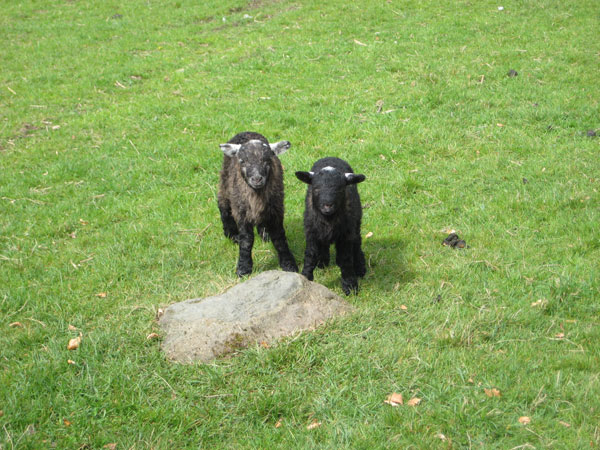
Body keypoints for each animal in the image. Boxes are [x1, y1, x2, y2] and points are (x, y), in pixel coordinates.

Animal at [218, 132, 298, 276]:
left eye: (266, 160)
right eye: (242, 161)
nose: (257, 179)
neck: (256, 196)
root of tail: (246, 132)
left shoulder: (276, 210)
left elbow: (279, 238)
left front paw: (289, 264)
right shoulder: (241, 212)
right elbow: (246, 240)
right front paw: (243, 268)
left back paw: (264, 234)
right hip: (225, 183)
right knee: (223, 205)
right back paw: (232, 235)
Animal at [296, 158, 366, 296]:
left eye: (340, 189)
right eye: (316, 188)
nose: (327, 206)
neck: (328, 219)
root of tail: (331, 157)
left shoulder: (346, 235)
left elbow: (345, 259)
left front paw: (350, 285)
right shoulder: (311, 231)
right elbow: (310, 255)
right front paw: (306, 278)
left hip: (356, 221)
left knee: (357, 241)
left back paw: (360, 267)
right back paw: (323, 262)